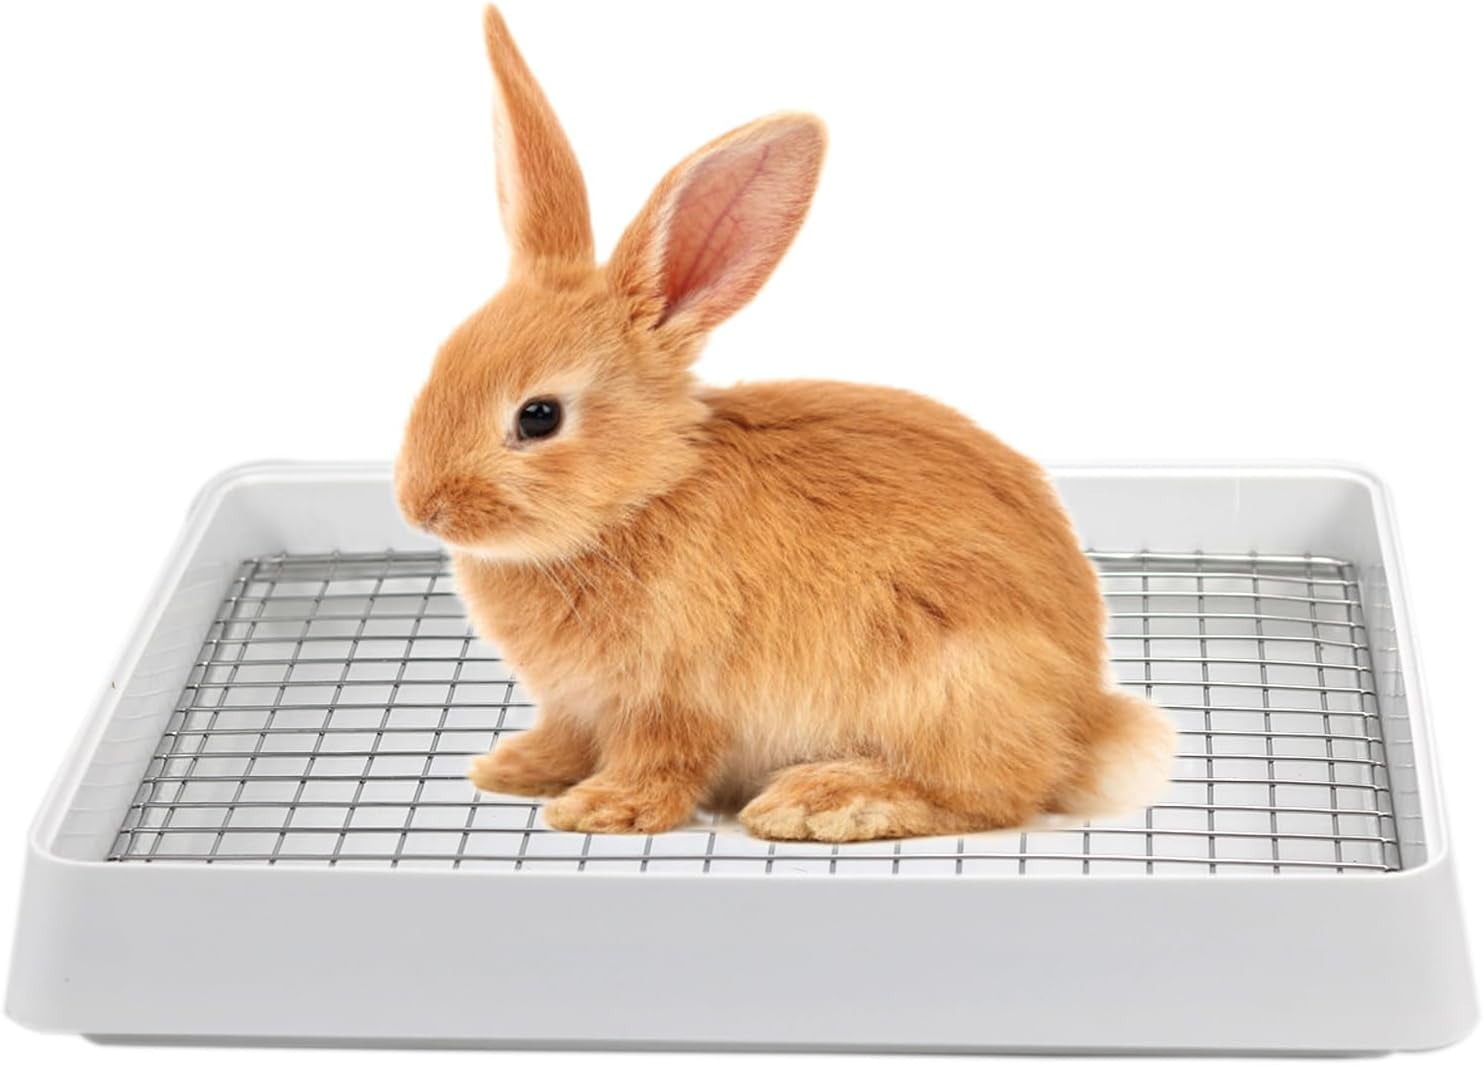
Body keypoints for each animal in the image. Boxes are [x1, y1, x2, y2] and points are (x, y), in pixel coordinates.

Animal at [394, 5, 1176, 842]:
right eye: (441, 361)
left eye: (538, 417)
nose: (421, 506)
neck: (641, 496)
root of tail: (1085, 721)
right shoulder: (577, 704)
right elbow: (566, 736)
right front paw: (512, 768)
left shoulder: (673, 696)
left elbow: (660, 760)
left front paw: (600, 808)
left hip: (951, 672)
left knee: (990, 791)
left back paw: (824, 798)